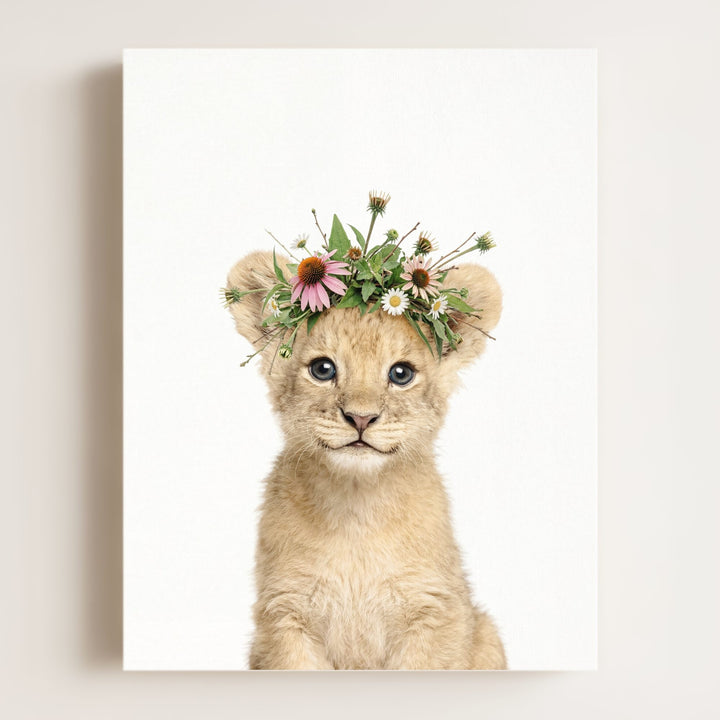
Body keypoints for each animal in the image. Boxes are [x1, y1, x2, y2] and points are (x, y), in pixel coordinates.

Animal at [226, 250, 506, 669]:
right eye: (322, 369)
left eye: (401, 373)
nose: (360, 418)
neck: (356, 510)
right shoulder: (285, 615)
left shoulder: (435, 612)